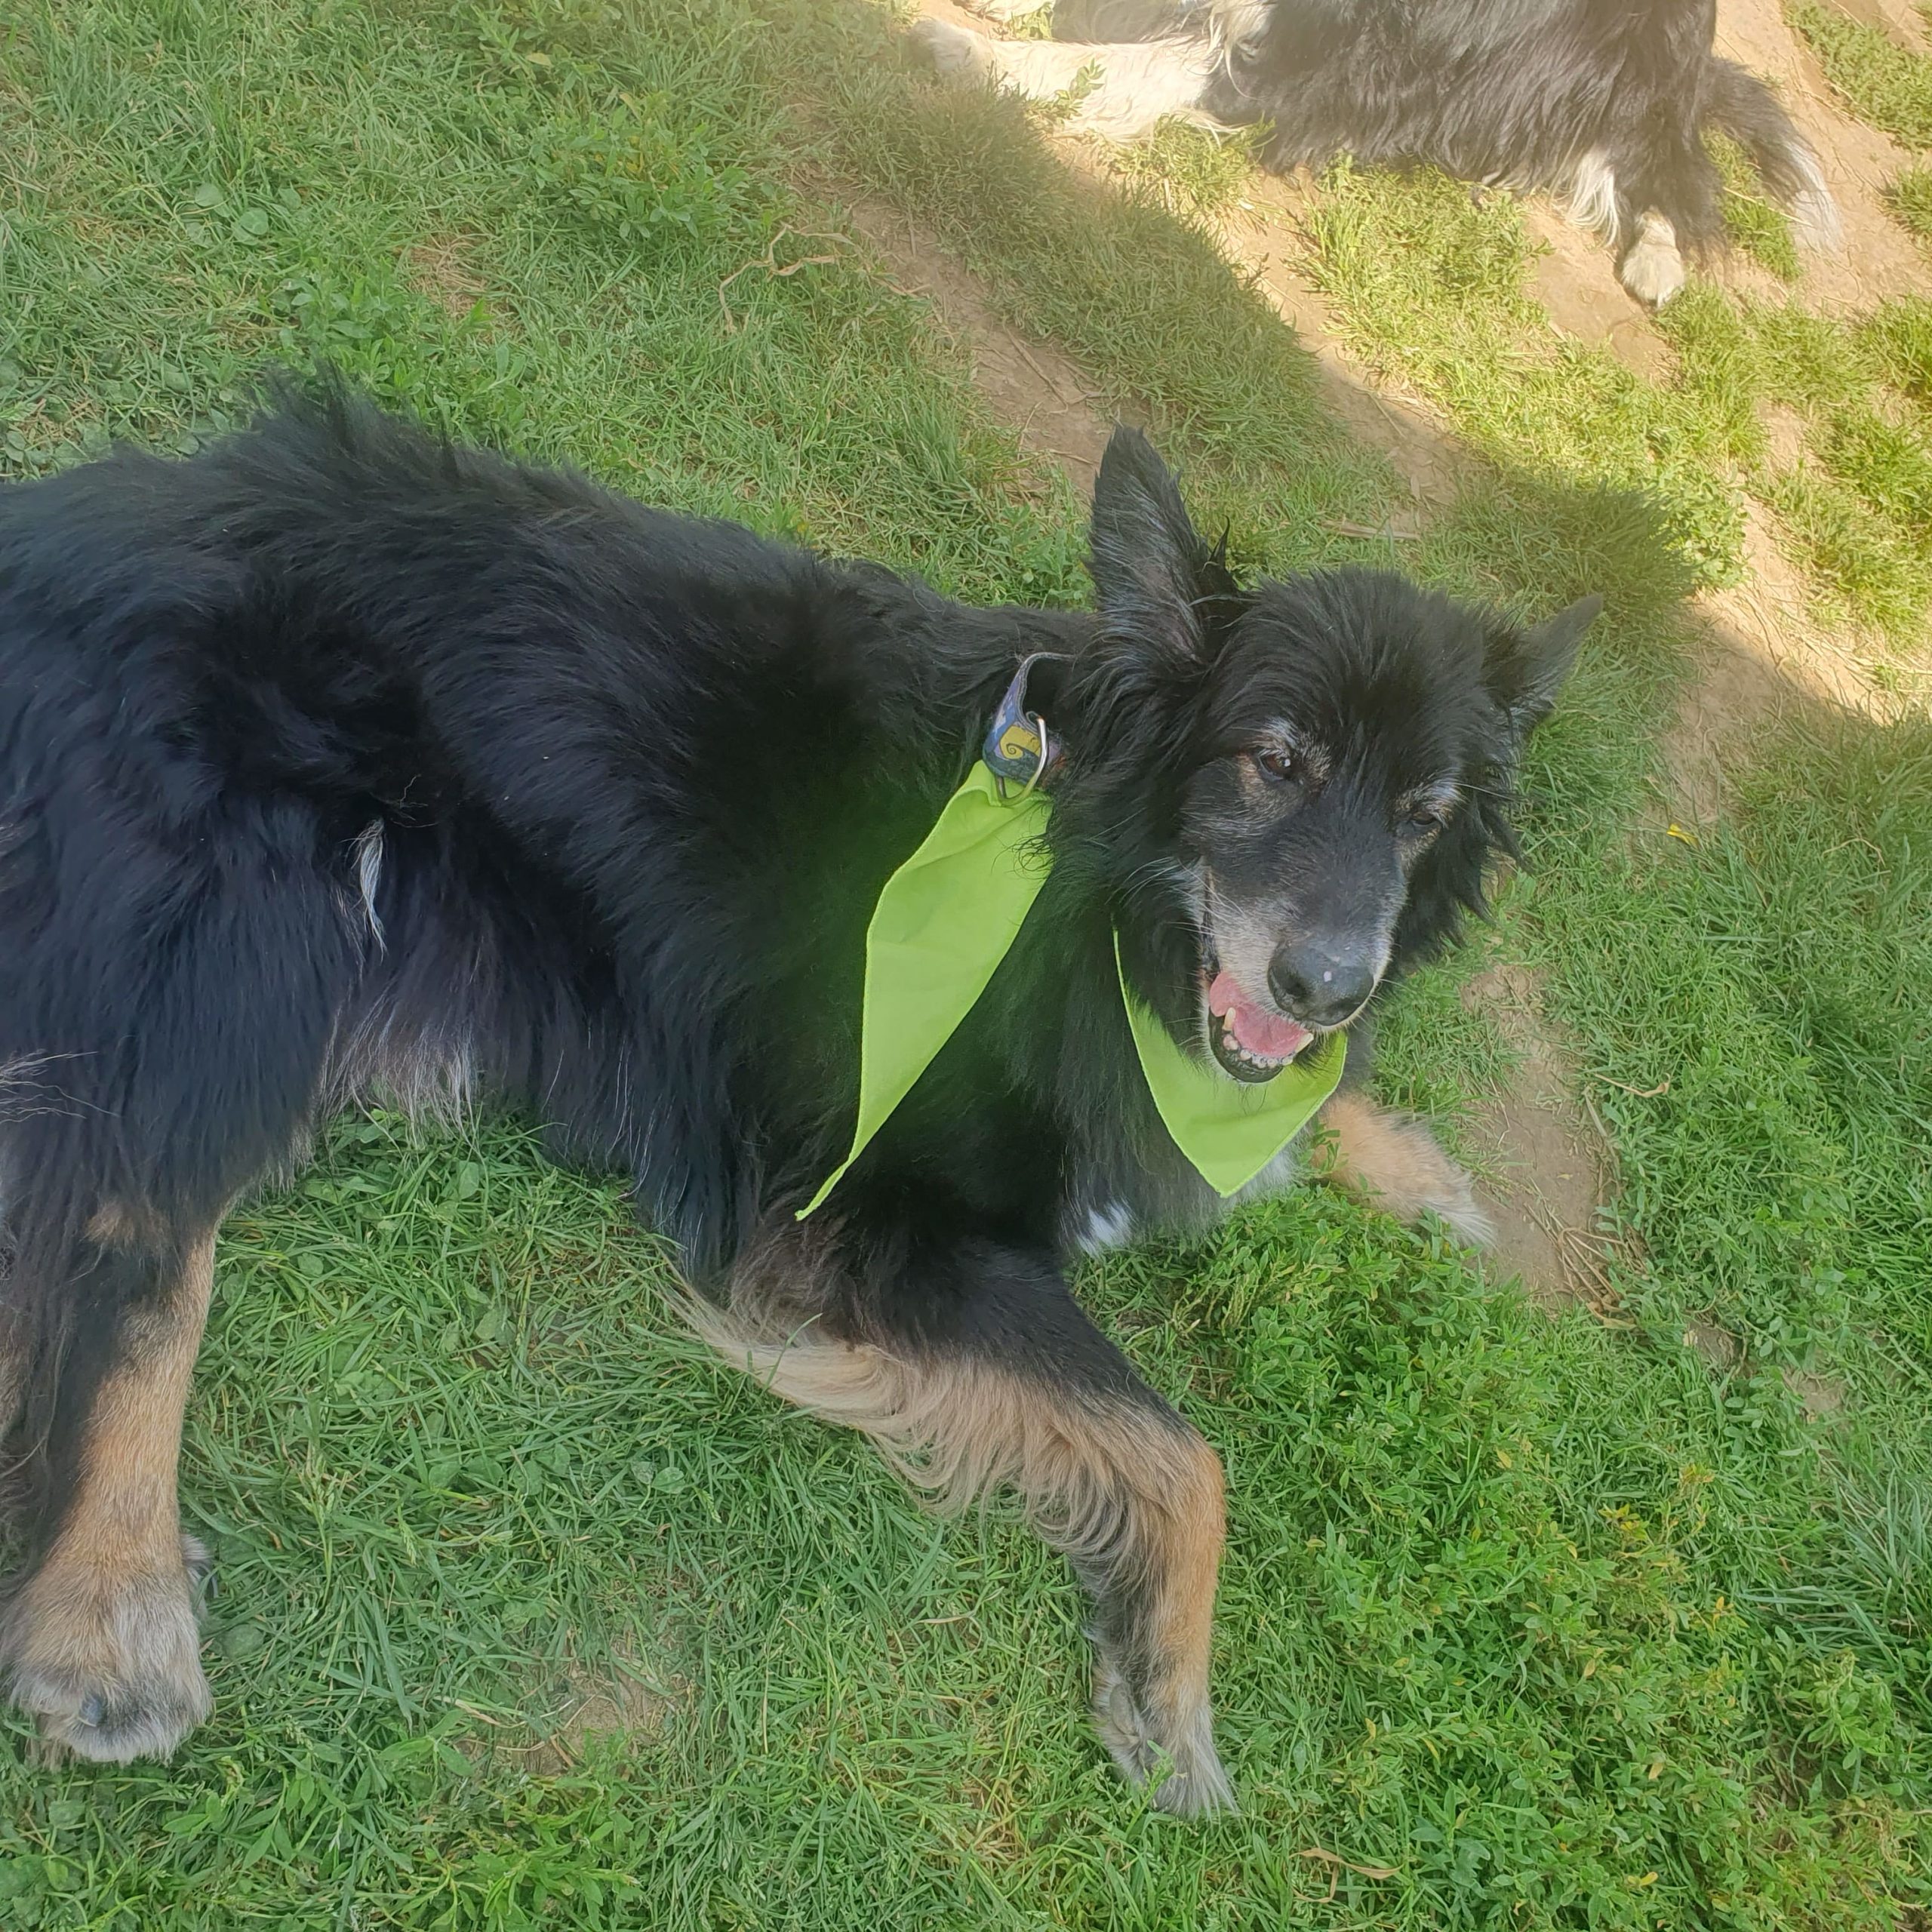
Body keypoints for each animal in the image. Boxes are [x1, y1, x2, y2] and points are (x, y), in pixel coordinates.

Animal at [0, 392, 1592, 1808]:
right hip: (244, 940)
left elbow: (1310, 1115)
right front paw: (1169, 1691)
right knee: (134, 1235)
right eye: (1271, 762)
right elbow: (1187, 1453)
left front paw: (1409, 1170)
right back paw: (114, 1607)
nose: (1327, 982)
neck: (1089, 881)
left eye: (1426, 818)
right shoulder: (880, 1220)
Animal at [912, 0, 1831, 305]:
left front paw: (968, 52)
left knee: (1679, 178)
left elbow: (1111, 63)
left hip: (1630, 83)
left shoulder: (1281, 75)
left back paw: (1656, 262)